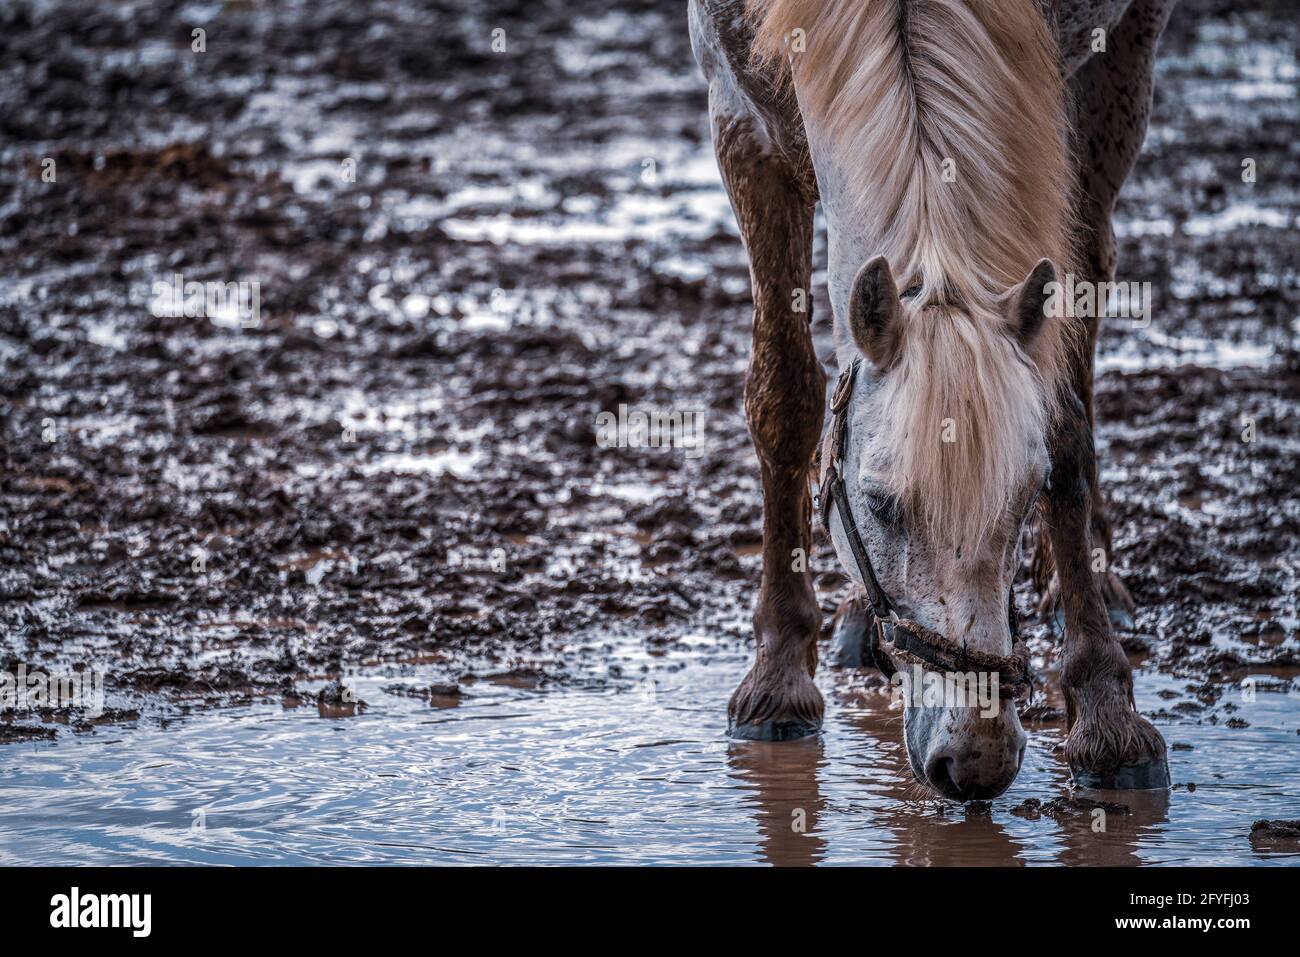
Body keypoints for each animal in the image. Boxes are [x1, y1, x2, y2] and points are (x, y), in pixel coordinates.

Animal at [689, 0, 1174, 799]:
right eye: (880, 503)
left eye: (1024, 497)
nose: (976, 759)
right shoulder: (741, 118)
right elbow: (784, 398)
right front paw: (779, 676)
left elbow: (1063, 417)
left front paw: (1107, 714)